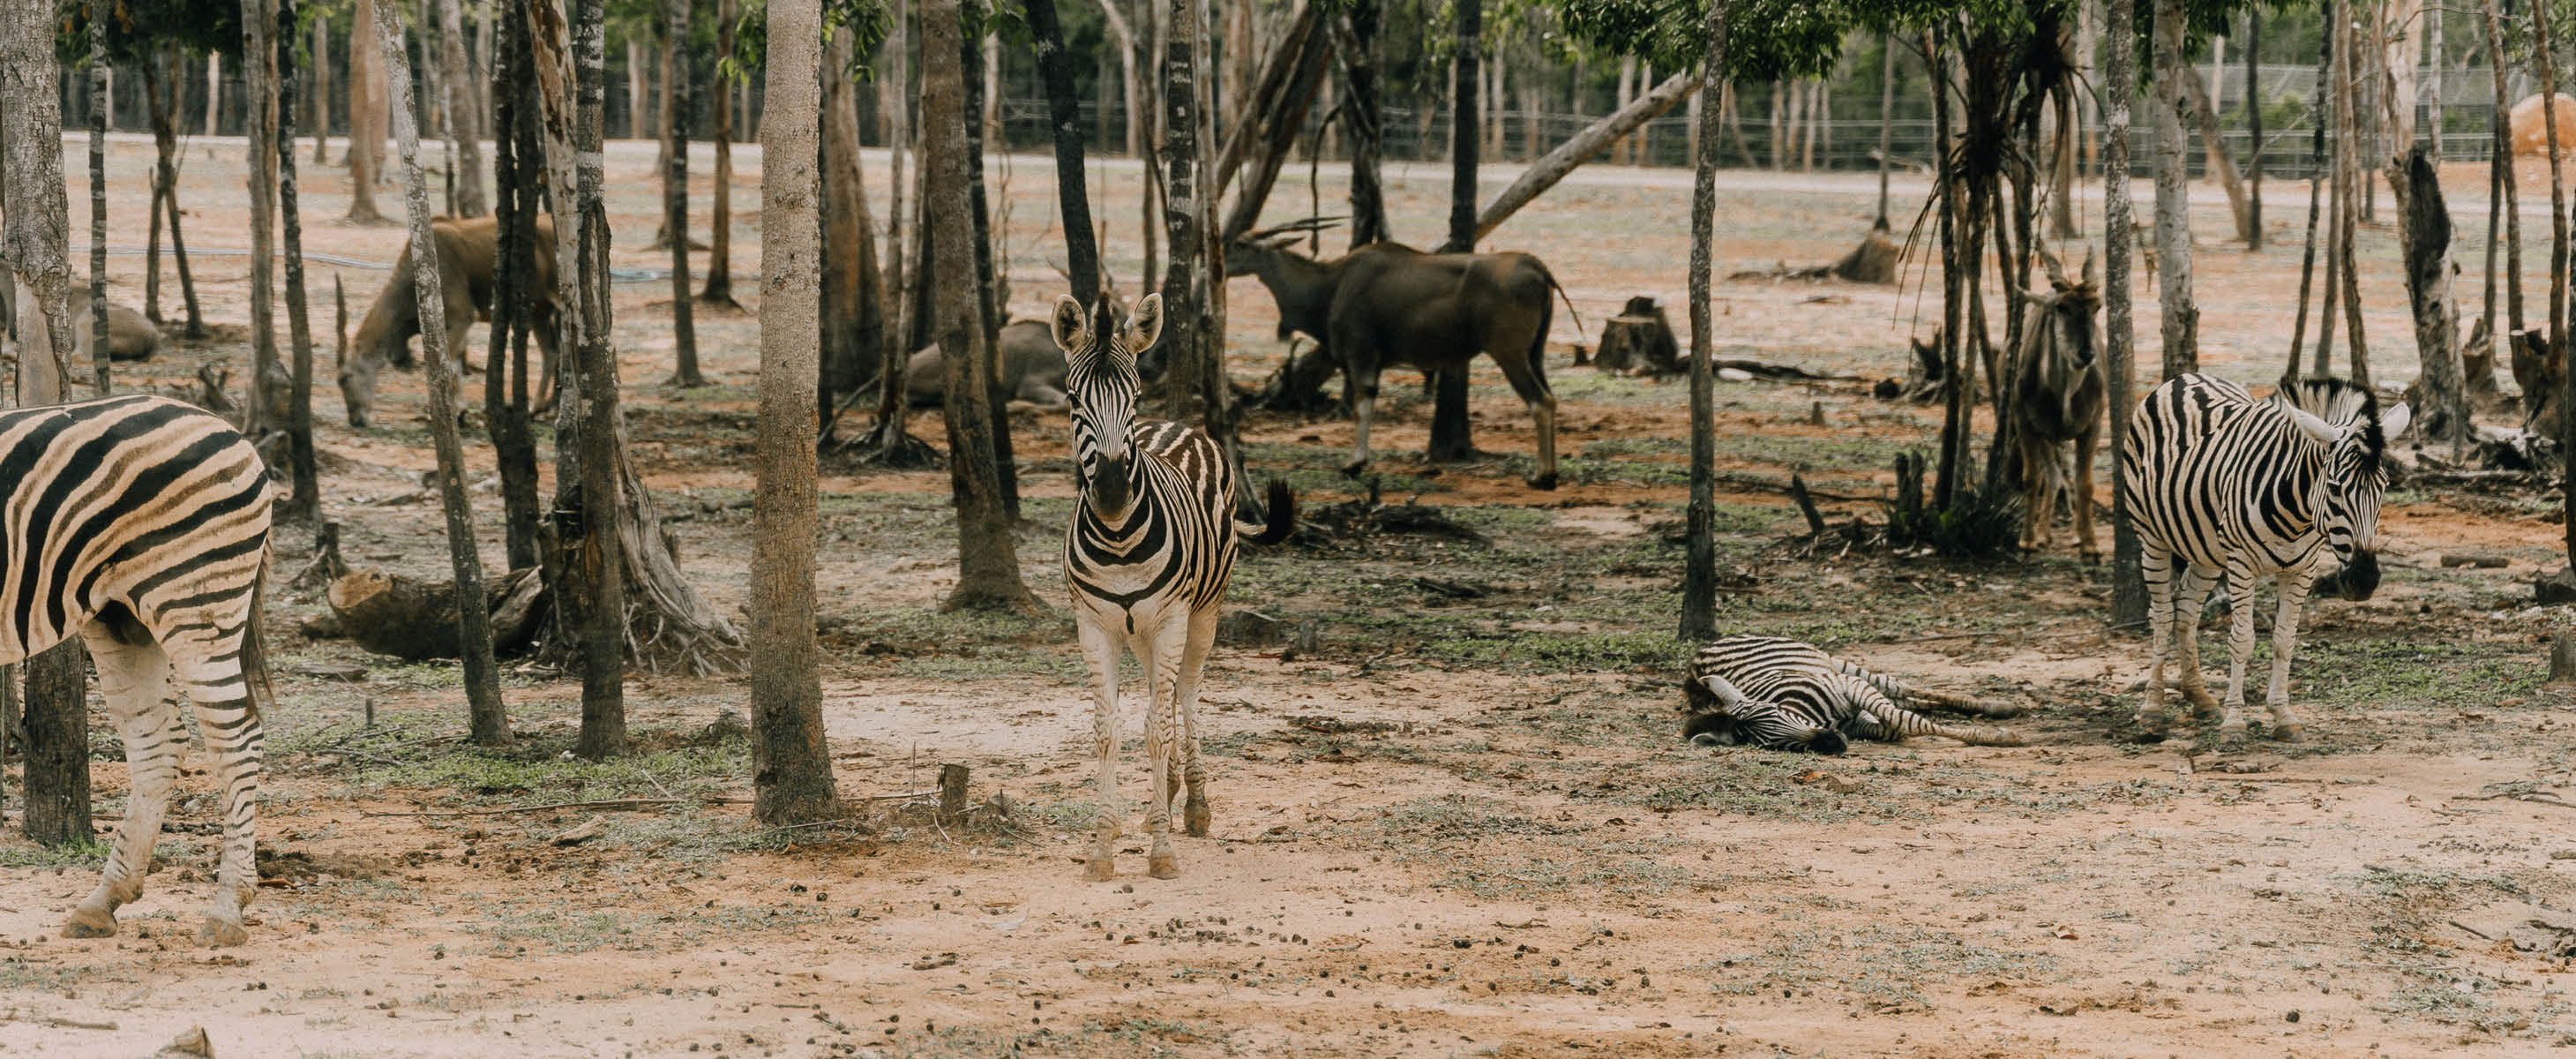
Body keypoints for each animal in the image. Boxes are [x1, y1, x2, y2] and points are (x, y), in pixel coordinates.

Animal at [0, 396, 275, 943]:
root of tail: (231, 430)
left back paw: (227, 910)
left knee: (237, 741)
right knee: (158, 744)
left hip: (195, 600)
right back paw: (104, 900)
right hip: (120, 616)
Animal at [1040, 295, 1288, 881]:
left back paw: (1193, 802)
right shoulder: (1094, 625)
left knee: (1187, 691)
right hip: (1139, 631)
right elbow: (1107, 728)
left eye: (1133, 398)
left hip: (1201, 614)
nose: (1111, 492)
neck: (1117, 539)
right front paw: (1102, 845)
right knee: (1166, 688)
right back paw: (1171, 789)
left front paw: (1160, 848)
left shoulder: (1172, 618)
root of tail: (1178, 422)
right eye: (1073, 399)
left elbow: (1156, 725)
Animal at [1679, 639, 2019, 752]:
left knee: (1904, 689)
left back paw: (1999, 706)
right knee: (1907, 699)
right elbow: (1896, 724)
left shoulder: (1850, 686)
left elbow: (1907, 721)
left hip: (1841, 665)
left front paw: (1999, 738)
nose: (1834, 743)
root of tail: (1700, 653)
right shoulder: (1860, 723)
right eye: (1771, 745)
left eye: (1778, 712)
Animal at [2123, 376, 2400, 741]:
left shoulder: (2302, 570)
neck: (2296, 515)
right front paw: (2235, 722)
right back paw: (2152, 708)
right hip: (2151, 536)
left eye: (2383, 487)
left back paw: (2200, 698)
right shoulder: (2241, 565)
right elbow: (2242, 640)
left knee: (2186, 610)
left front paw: (2283, 716)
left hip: (2206, 550)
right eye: (2335, 488)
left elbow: (2285, 640)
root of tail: (2182, 380)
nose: (2364, 580)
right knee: (2163, 616)